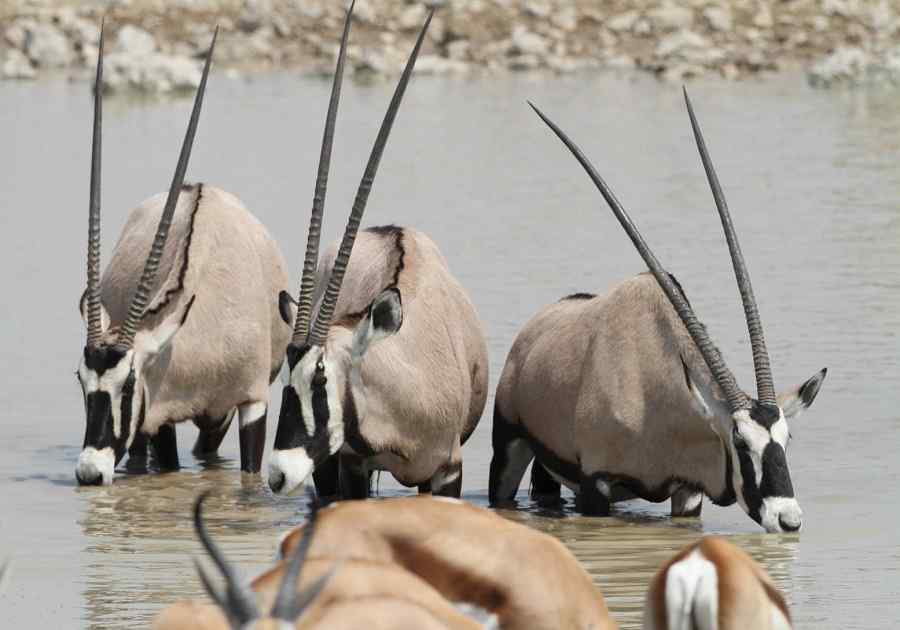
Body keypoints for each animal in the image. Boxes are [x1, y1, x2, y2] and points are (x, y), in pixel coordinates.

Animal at [75, 25, 292, 485]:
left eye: (127, 383)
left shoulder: (251, 403)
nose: (89, 472)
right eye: (81, 381)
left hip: (218, 417)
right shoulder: (160, 417)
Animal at [488, 91, 826, 533]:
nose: (788, 519)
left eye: (786, 439)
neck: (653, 389)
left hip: (550, 469)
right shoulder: (595, 484)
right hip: (510, 448)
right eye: (740, 441)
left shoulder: (687, 491)